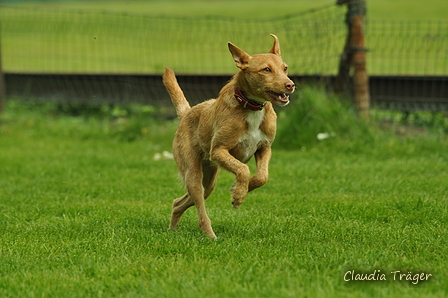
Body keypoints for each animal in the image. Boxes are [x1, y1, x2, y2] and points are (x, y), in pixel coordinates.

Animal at [163, 33, 296, 239]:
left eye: (285, 68)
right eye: (266, 69)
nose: (290, 85)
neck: (251, 107)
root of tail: (187, 113)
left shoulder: (264, 148)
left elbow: (262, 176)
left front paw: (243, 188)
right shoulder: (218, 151)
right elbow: (243, 169)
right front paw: (238, 195)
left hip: (209, 180)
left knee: (179, 202)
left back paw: (173, 229)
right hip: (193, 172)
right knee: (200, 208)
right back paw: (210, 235)